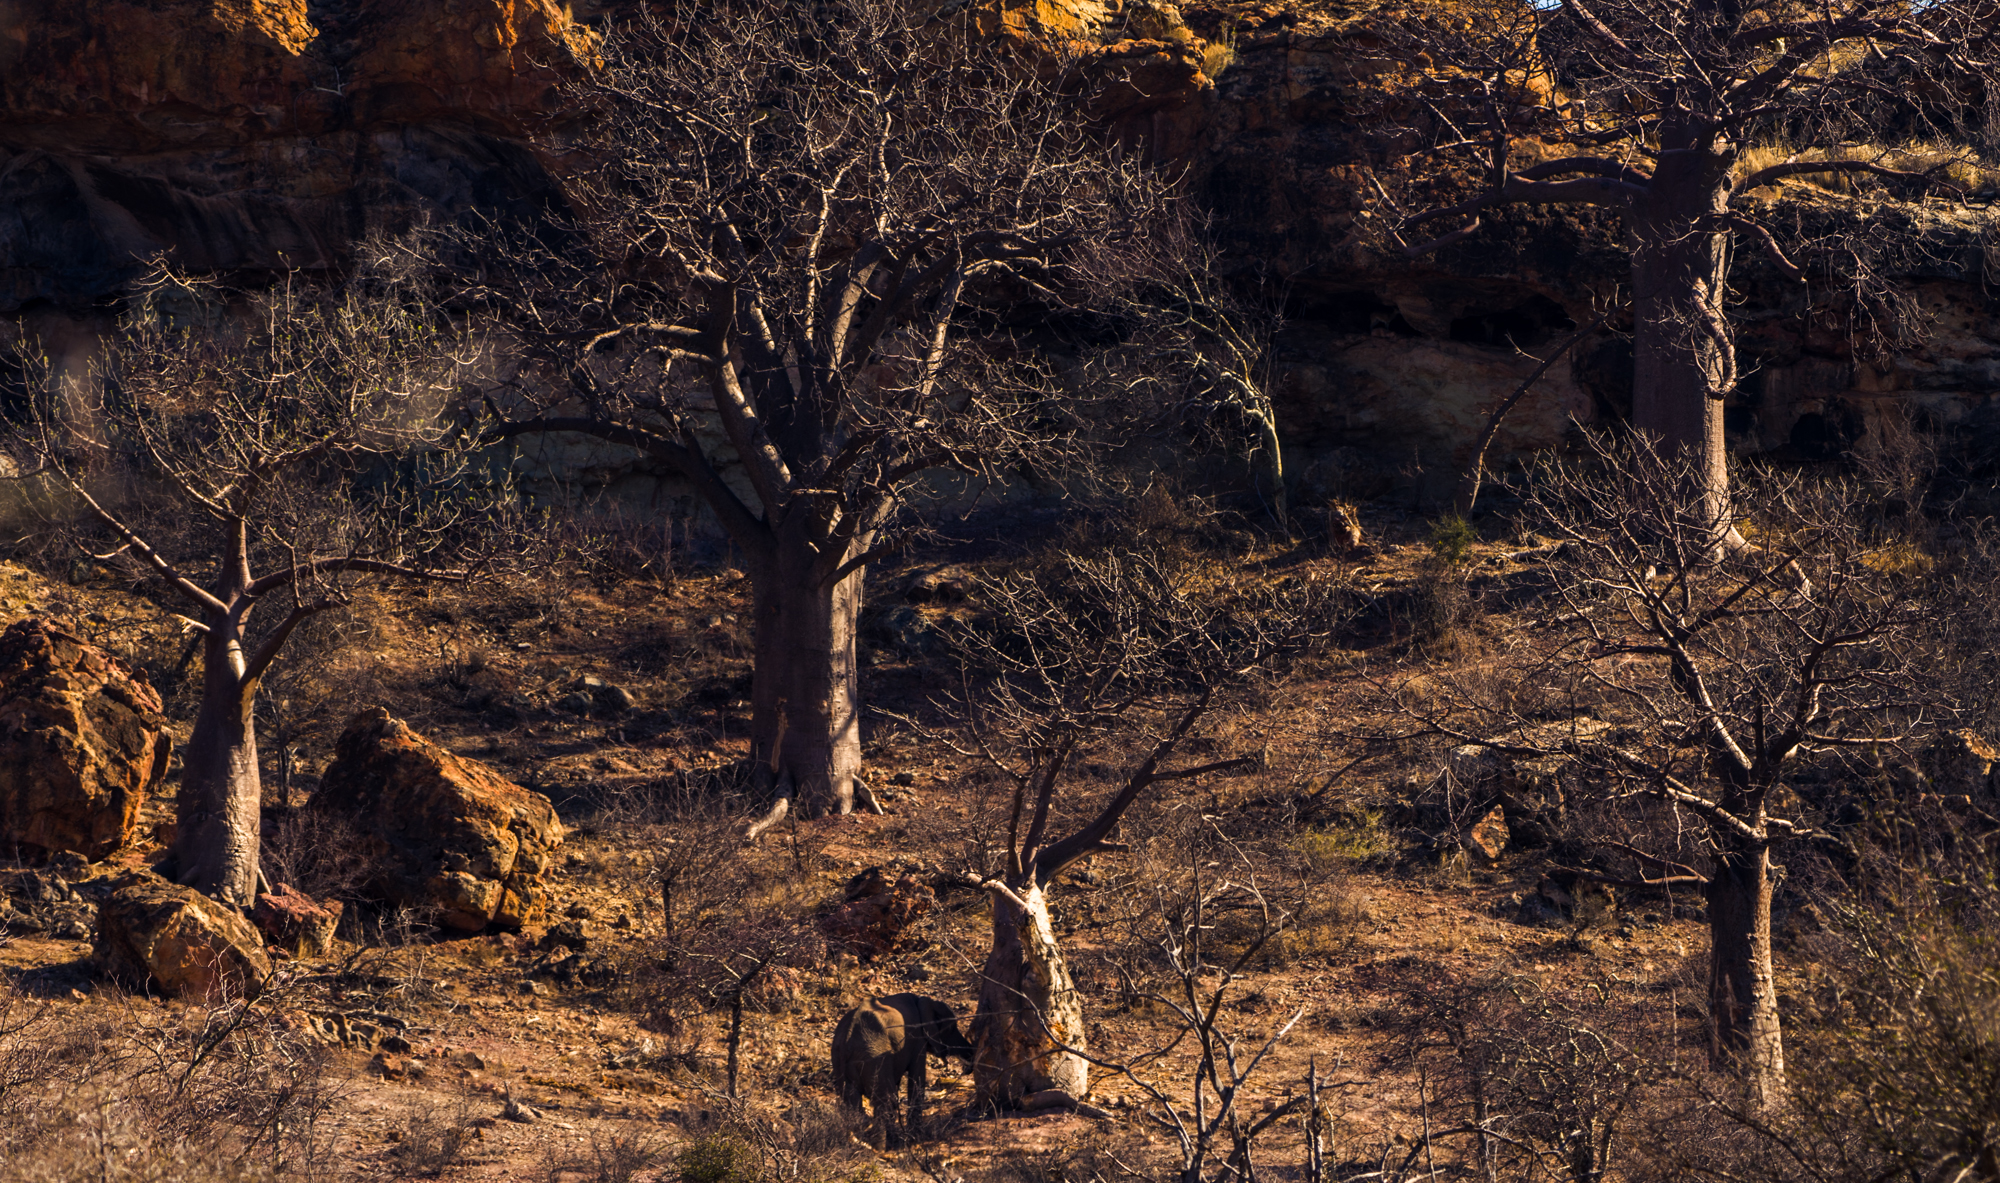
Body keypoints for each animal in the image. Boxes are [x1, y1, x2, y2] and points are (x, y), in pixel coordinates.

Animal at [828, 987, 976, 1143]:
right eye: (952, 1028)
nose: (968, 1066)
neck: (922, 1000)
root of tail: (846, 1044)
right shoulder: (917, 1038)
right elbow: (917, 1078)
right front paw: (916, 1137)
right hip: (874, 1059)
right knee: (884, 1102)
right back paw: (890, 1143)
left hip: (839, 1062)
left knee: (852, 1104)